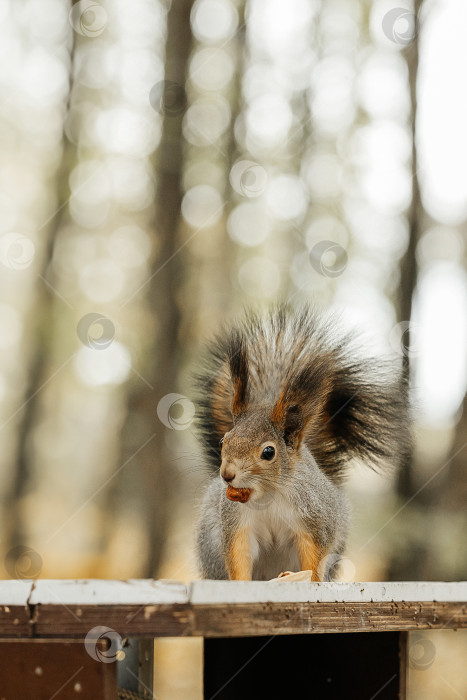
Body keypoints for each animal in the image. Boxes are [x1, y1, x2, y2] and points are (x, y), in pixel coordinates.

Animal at [192, 302, 412, 580]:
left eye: (268, 452)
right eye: (223, 441)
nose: (227, 475)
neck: (268, 495)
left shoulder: (315, 518)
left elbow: (314, 555)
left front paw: (312, 580)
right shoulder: (237, 523)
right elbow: (238, 555)